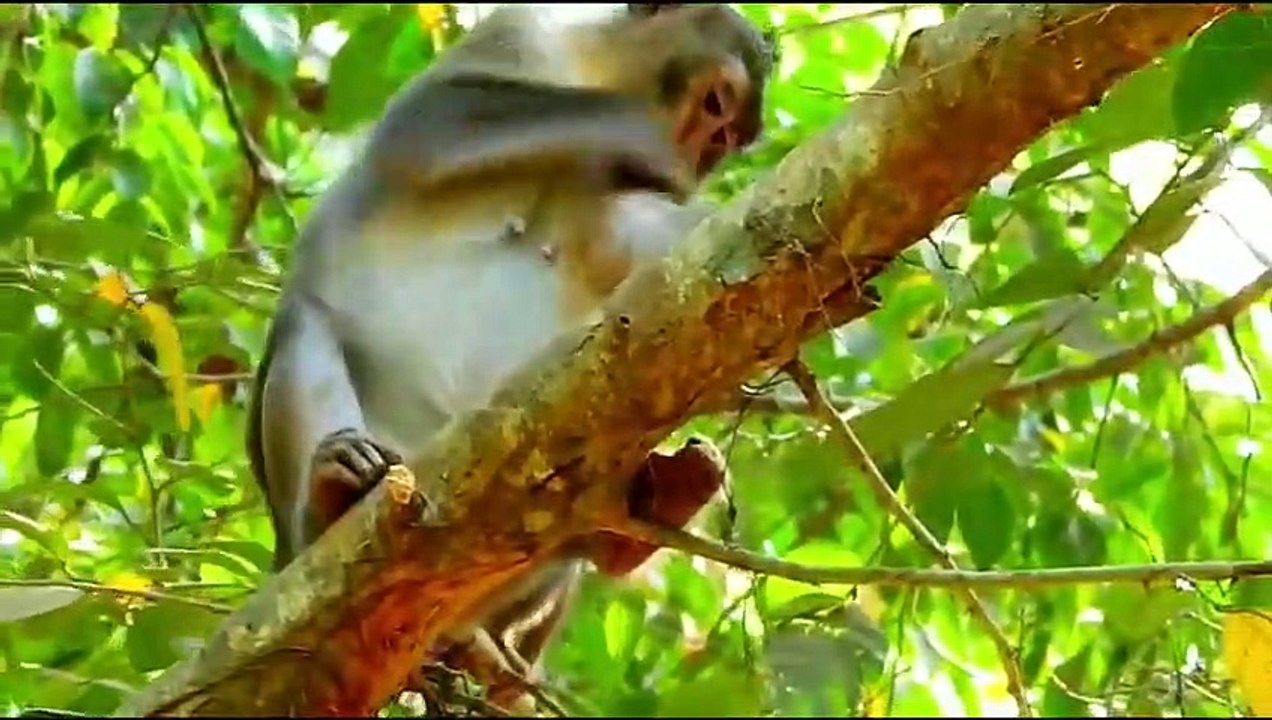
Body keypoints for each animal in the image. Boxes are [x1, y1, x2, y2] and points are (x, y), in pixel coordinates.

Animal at [246, 3, 772, 712]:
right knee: (305, 330)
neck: (596, 66)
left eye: (724, 141)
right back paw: (331, 498)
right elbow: (430, 124)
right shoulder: (521, 30)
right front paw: (656, 149)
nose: (699, 153)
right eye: (715, 104)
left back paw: (638, 515)